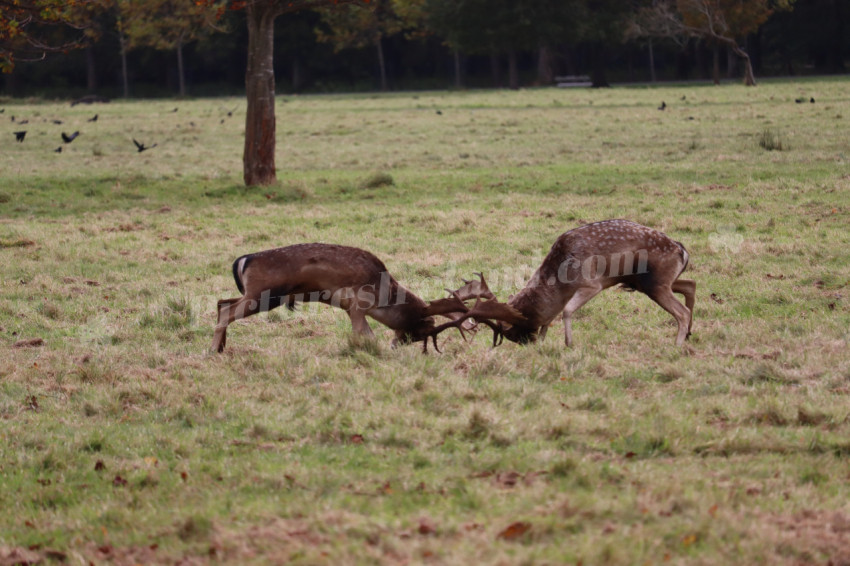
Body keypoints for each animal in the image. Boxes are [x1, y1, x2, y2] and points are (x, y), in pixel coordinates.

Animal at [208, 243, 520, 356]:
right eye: (423, 330)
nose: (398, 344)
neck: (383, 293)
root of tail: (243, 260)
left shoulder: (349, 308)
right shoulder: (356, 305)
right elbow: (366, 336)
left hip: (253, 294)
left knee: (222, 301)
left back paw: (222, 348)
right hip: (262, 294)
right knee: (225, 311)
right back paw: (212, 350)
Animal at [448, 221, 692, 346]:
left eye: (512, 332)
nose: (529, 344)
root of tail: (682, 249)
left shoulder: (592, 284)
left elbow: (566, 310)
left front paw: (569, 343)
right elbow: (553, 316)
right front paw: (547, 339)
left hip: (656, 284)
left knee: (683, 311)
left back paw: (677, 345)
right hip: (655, 282)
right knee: (690, 285)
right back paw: (689, 334)